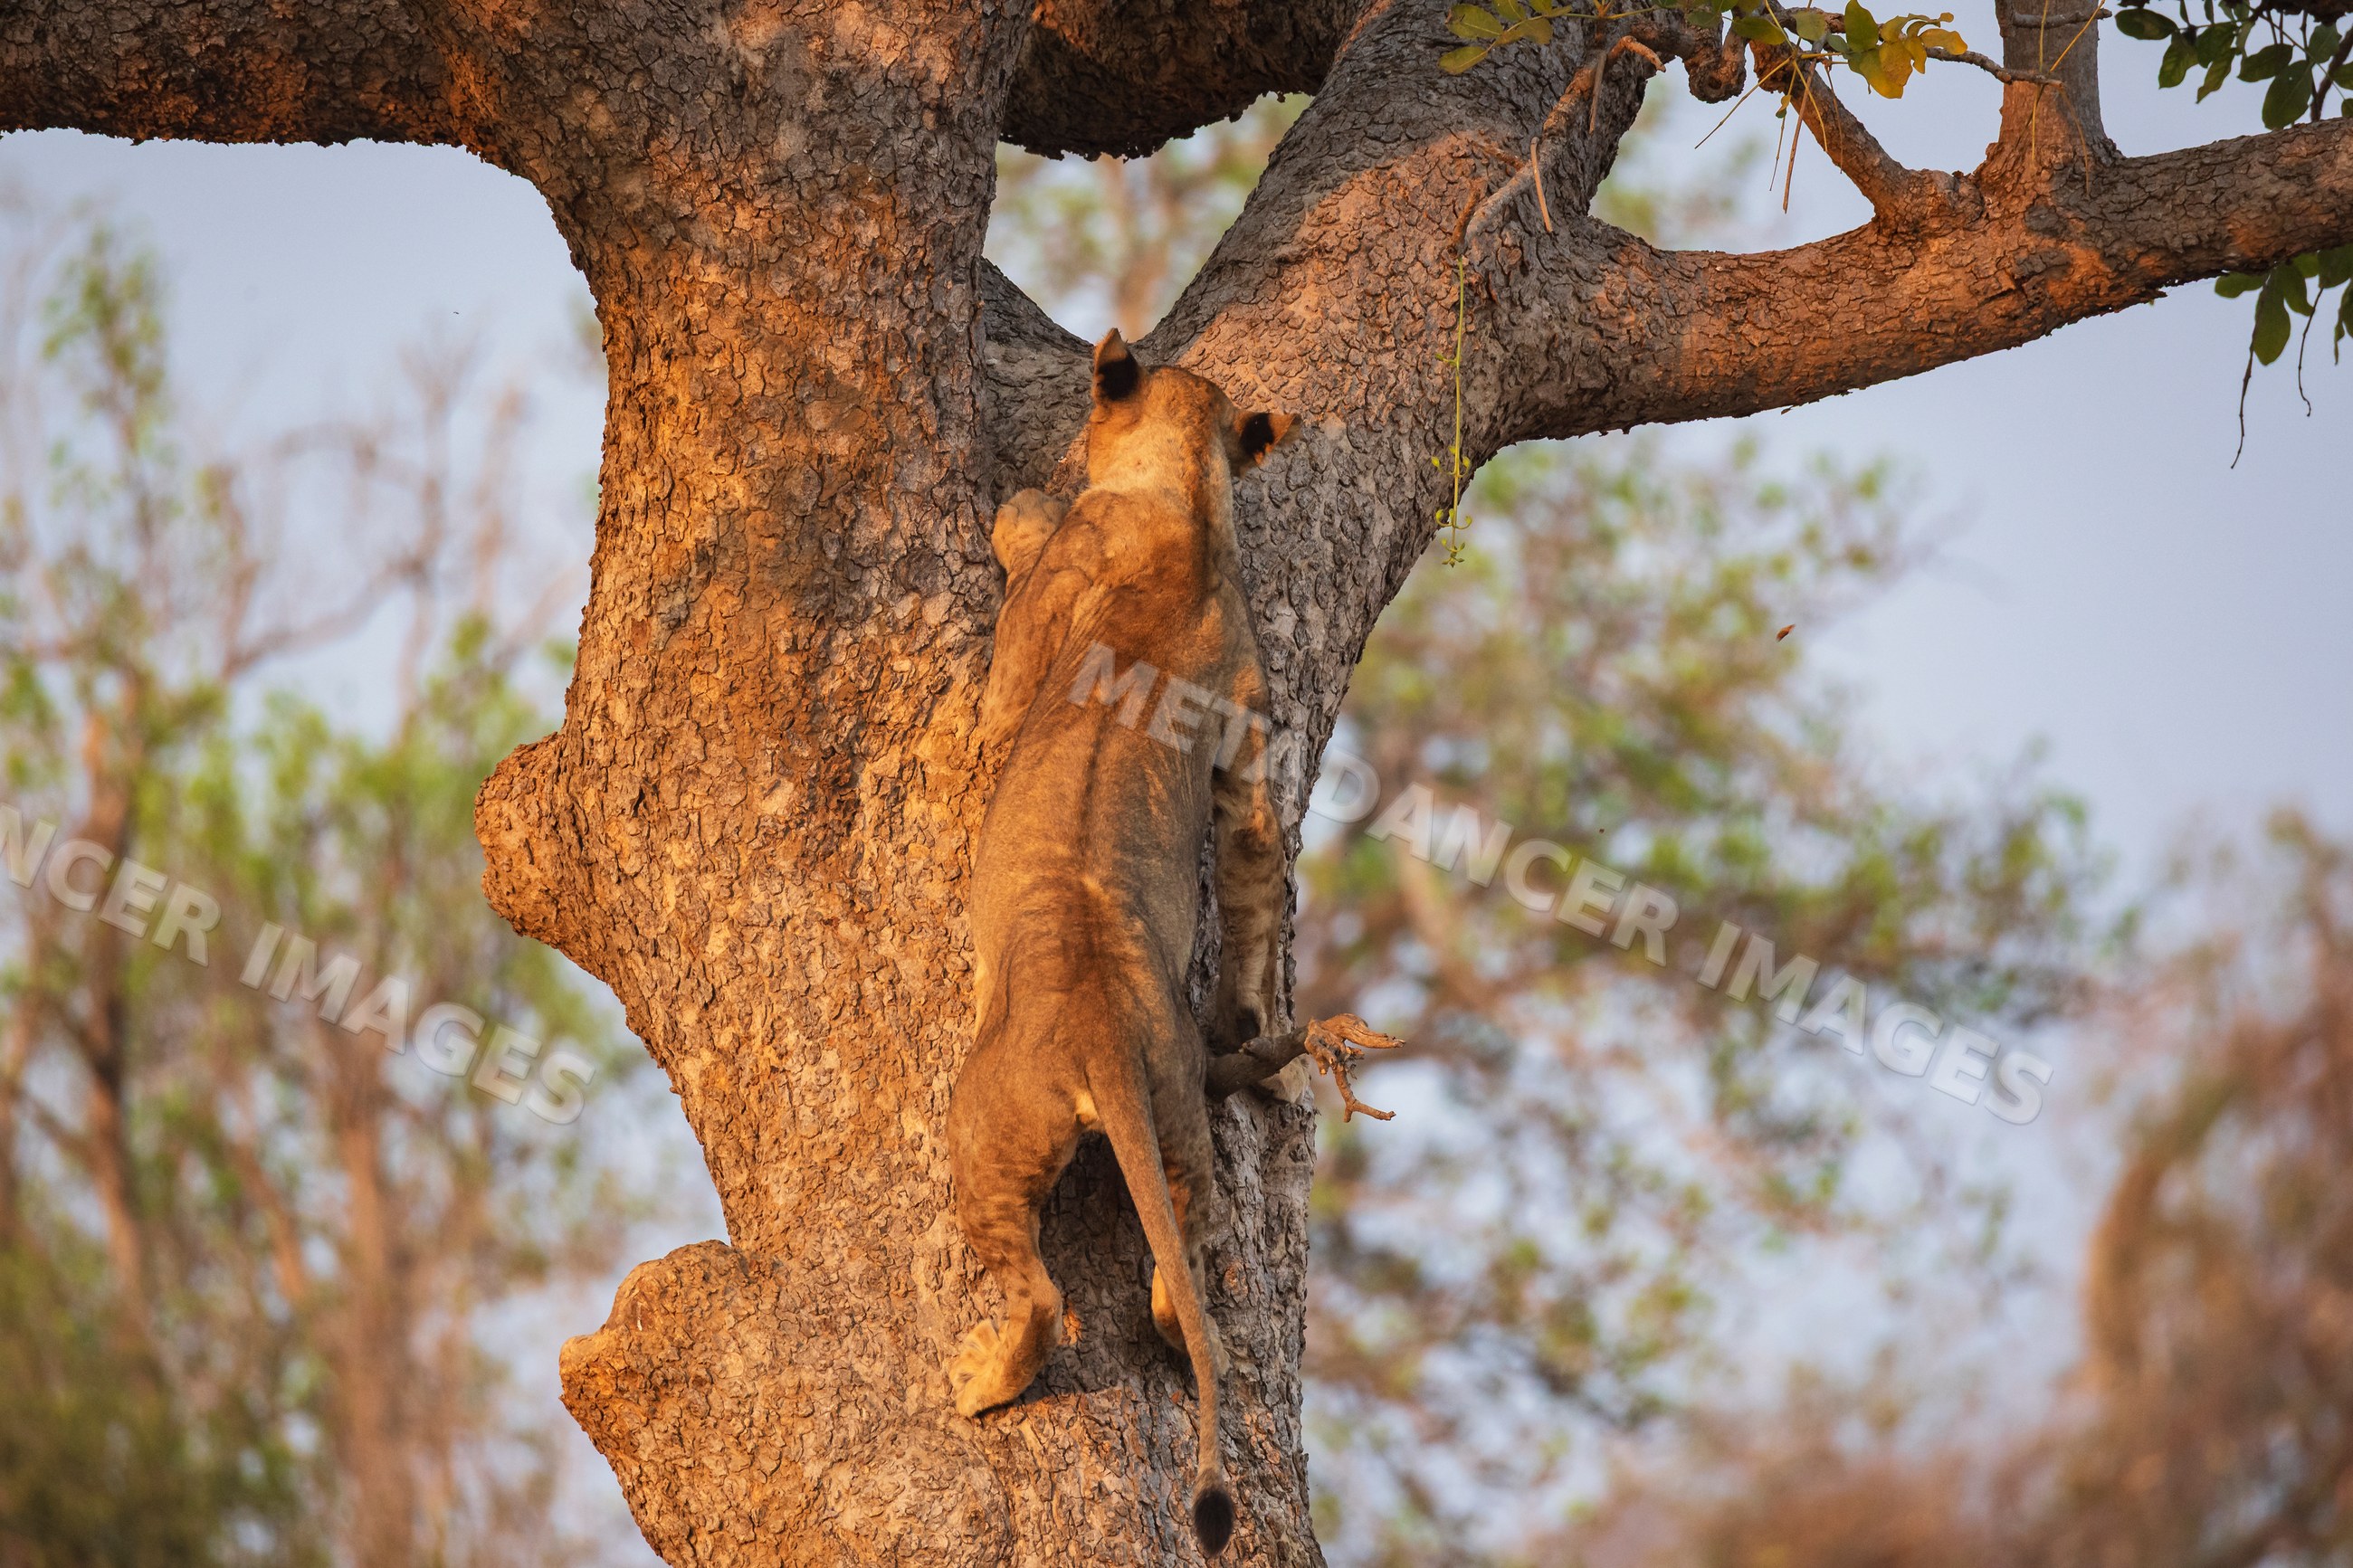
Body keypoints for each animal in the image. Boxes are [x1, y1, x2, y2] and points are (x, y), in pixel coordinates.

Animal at [946, 329, 1298, 1556]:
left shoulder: (1040, 618)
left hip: (983, 1119)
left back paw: (980, 1378)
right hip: (1180, 1123)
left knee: (1043, 1296)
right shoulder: (1249, 723)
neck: (1188, 505)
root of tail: (1099, 1022)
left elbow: (994, 683)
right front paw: (1249, 1011)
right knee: (1175, 1267)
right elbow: (1256, 862)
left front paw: (1016, 503)